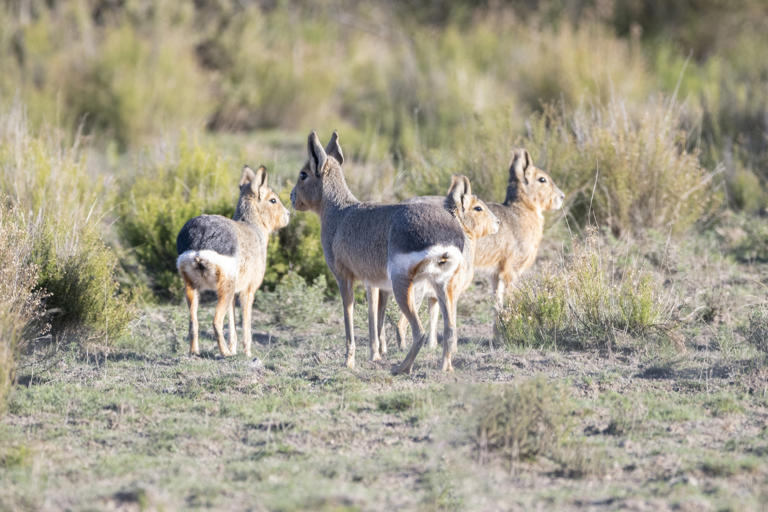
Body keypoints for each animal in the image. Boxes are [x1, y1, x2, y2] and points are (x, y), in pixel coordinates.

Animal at [177, 165, 290, 358]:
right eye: (273, 200)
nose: (288, 215)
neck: (253, 227)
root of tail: (200, 238)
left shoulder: (234, 293)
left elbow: (232, 325)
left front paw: (234, 348)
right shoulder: (248, 291)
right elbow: (245, 326)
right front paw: (247, 354)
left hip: (193, 287)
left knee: (193, 323)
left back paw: (195, 352)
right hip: (224, 287)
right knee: (215, 321)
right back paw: (225, 354)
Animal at [290, 131, 499, 373]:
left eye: (303, 174)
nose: (292, 197)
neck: (339, 212)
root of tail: (449, 236)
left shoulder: (345, 278)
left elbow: (349, 318)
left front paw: (349, 361)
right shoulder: (375, 284)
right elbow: (375, 319)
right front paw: (375, 356)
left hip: (404, 287)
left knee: (419, 331)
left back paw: (402, 368)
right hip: (440, 287)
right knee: (449, 330)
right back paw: (444, 368)